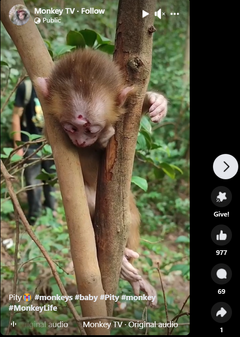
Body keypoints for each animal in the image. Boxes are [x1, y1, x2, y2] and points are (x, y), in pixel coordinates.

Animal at [35, 48, 167, 306]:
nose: (81, 140)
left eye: (90, 129)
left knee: (130, 218)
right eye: (71, 128)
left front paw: (155, 102)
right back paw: (124, 263)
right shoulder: (52, 129)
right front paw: (104, 138)